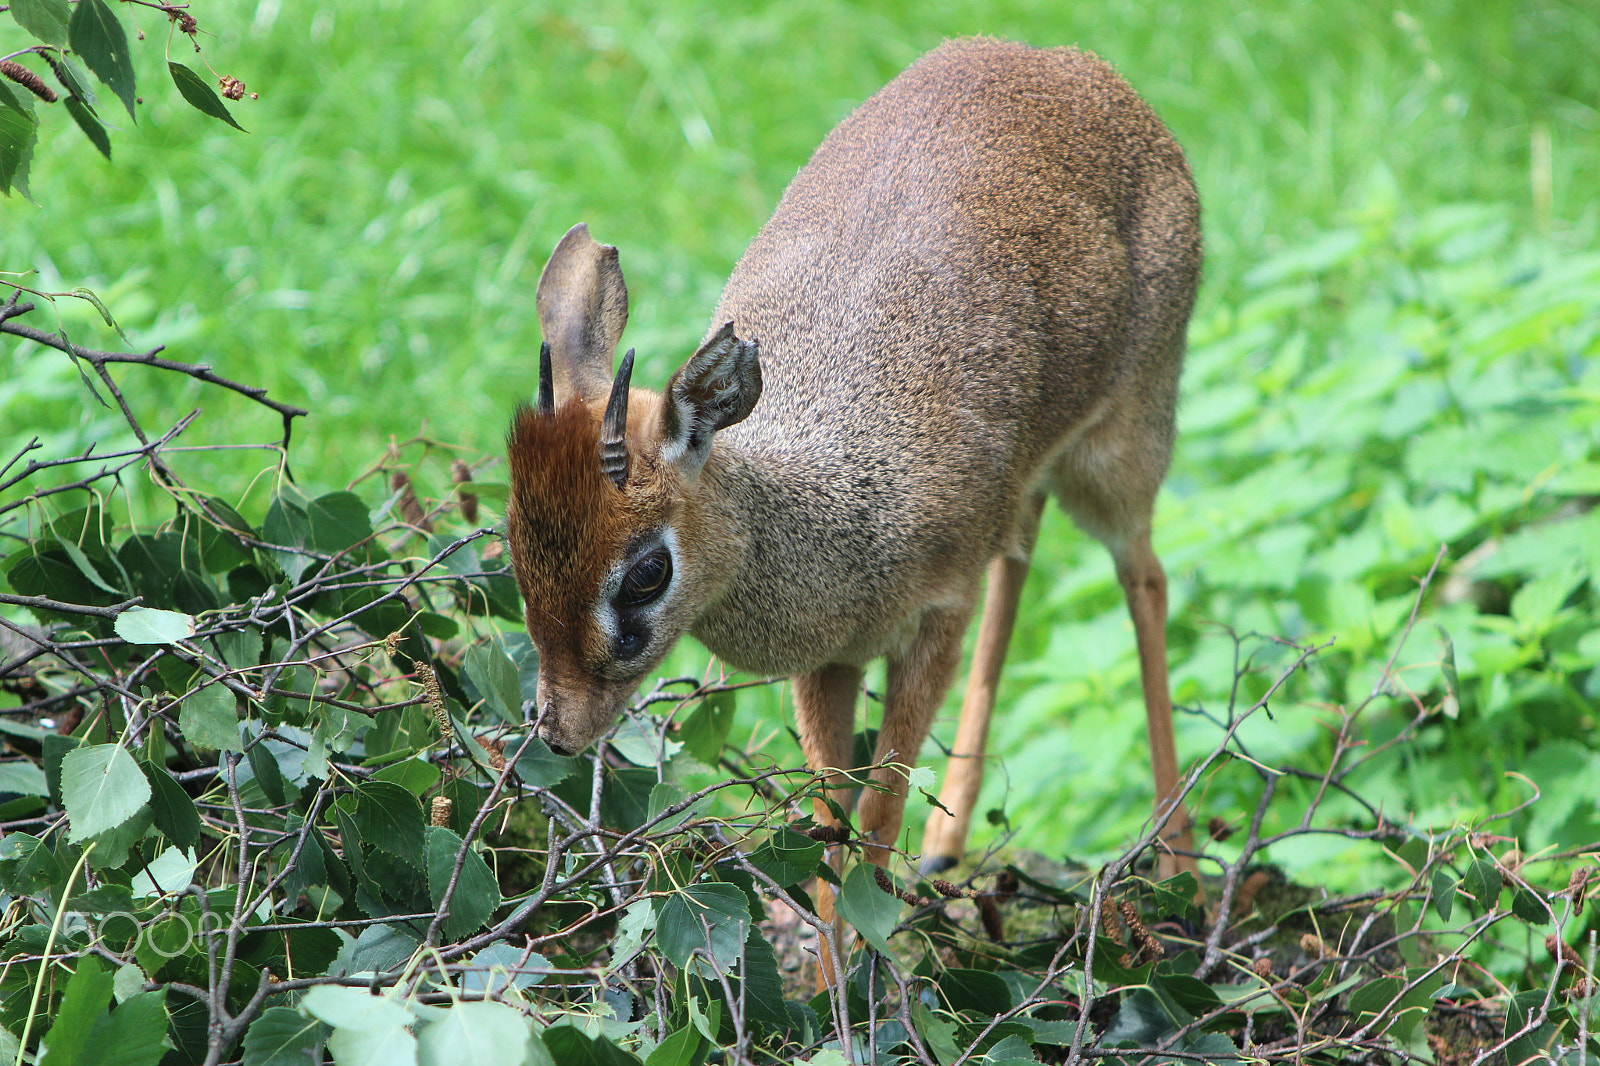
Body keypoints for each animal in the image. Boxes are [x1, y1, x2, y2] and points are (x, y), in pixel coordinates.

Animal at [512, 37, 1203, 877]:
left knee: (1146, 579)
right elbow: (828, 831)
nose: (559, 730)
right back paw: (946, 848)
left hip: (1122, 452)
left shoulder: (936, 618)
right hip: (1035, 479)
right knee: (1021, 560)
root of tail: (1072, 62)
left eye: (647, 571)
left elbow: (876, 822)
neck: (839, 511)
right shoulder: (831, 660)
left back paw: (1178, 864)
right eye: (517, 549)